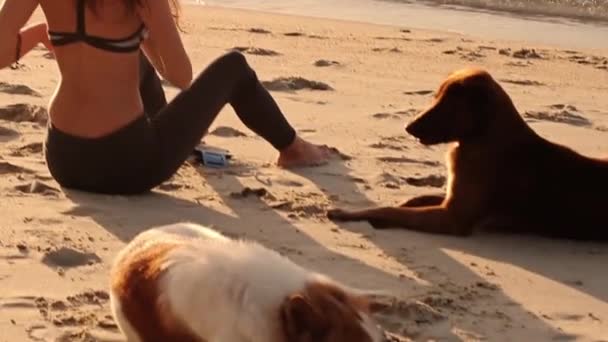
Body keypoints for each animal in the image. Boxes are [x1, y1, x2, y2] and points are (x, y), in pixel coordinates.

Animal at [328, 66, 608, 238]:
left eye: (446, 104)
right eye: (436, 97)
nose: (408, 127)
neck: (481, 138)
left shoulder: (451, 217)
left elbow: (390, 210)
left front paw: (349, 213)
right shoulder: (452, 199)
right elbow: (415, 199)